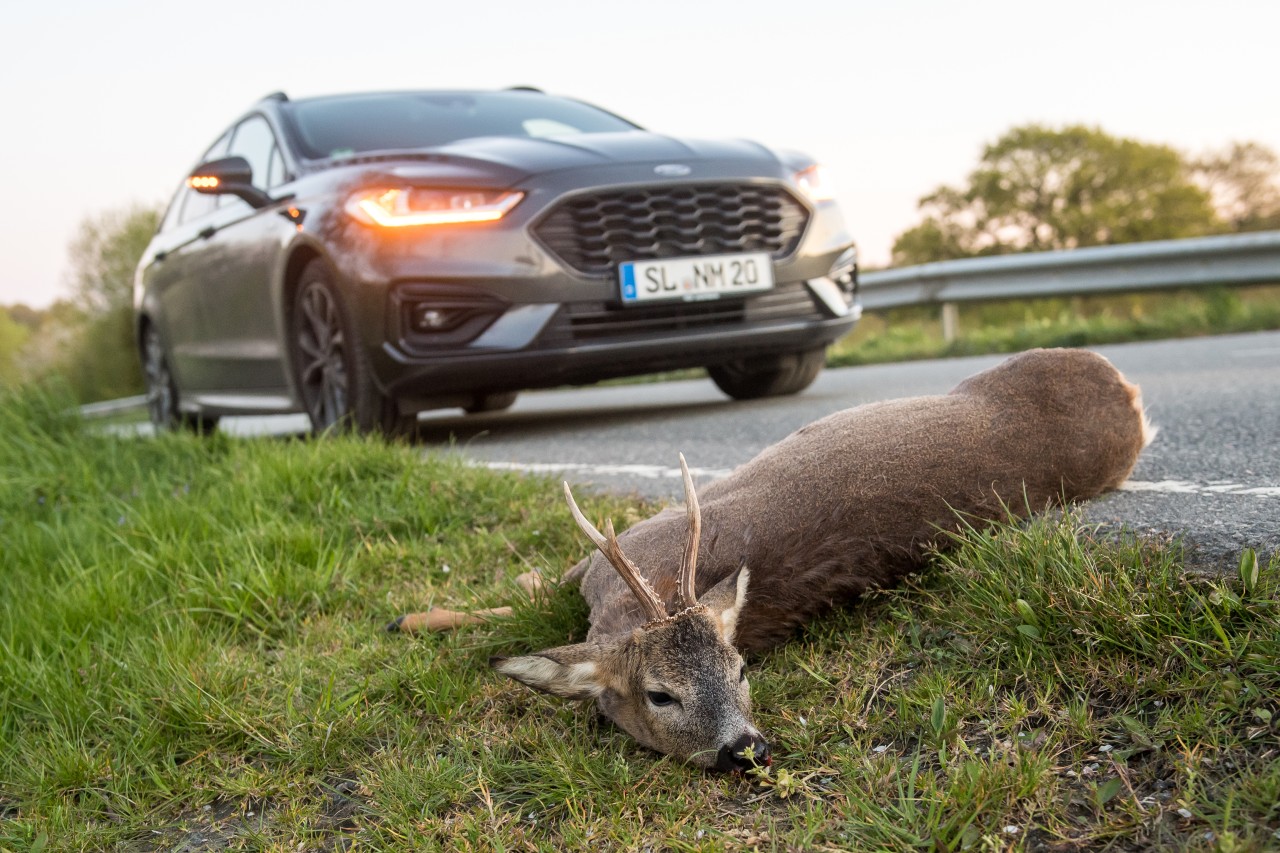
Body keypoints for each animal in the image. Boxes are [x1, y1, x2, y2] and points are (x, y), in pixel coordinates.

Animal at [389, 345, 1152, 768]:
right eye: (660, 694)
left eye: (740, 669)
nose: (746, 748)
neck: (631, 596)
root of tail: (1124, 388)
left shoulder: (614, 551)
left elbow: (526, 591)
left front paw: (410, 618)